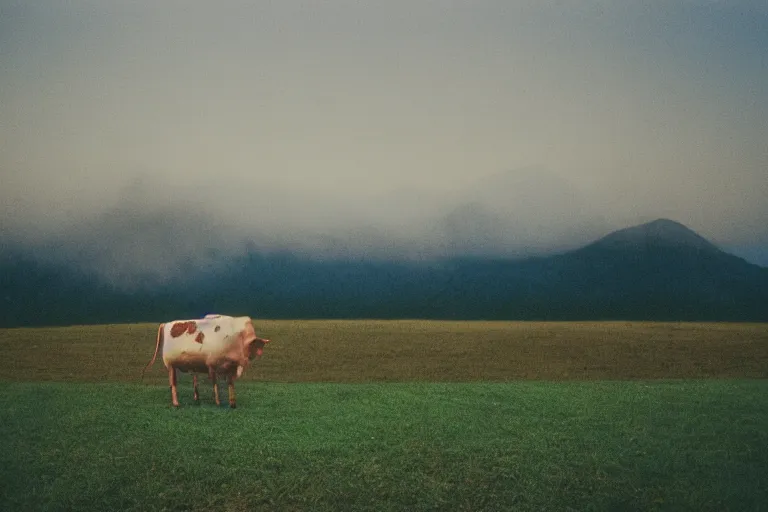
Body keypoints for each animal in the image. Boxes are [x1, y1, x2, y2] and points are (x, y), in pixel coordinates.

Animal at [142, 312, 272, 408]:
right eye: (252, 345)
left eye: (257, 346)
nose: (249, 358)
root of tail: (166, 323)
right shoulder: (212, 364)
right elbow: (215, 383)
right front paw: (218, 402)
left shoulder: (231, 367)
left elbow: (231, 384)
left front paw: (233, 403)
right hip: (171, 365)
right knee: (173, 384)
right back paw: (176, 403)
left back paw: (195, 398)